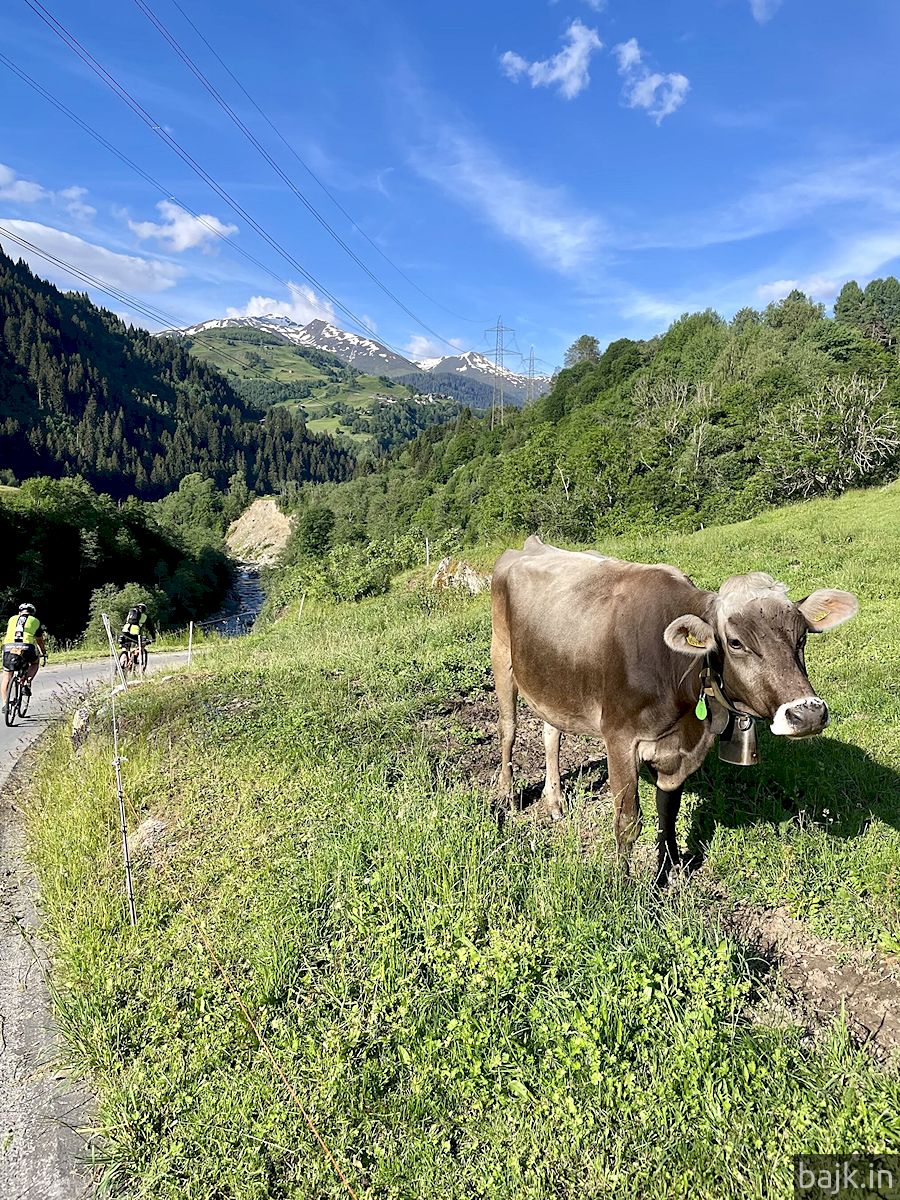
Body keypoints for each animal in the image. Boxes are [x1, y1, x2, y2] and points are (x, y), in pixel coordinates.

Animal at [494, 537, 859, 883]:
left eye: (802, 637)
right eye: (736, 642)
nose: (808, 714)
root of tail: (531, 544)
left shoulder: (678, 751)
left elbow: (668, 811)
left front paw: (669, 868)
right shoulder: (619, 739)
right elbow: (628, 821)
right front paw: (623, 886)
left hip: (553, 679)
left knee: (551, 731)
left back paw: (554, 801)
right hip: (502, 655)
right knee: (508, 729)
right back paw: (507, 798)